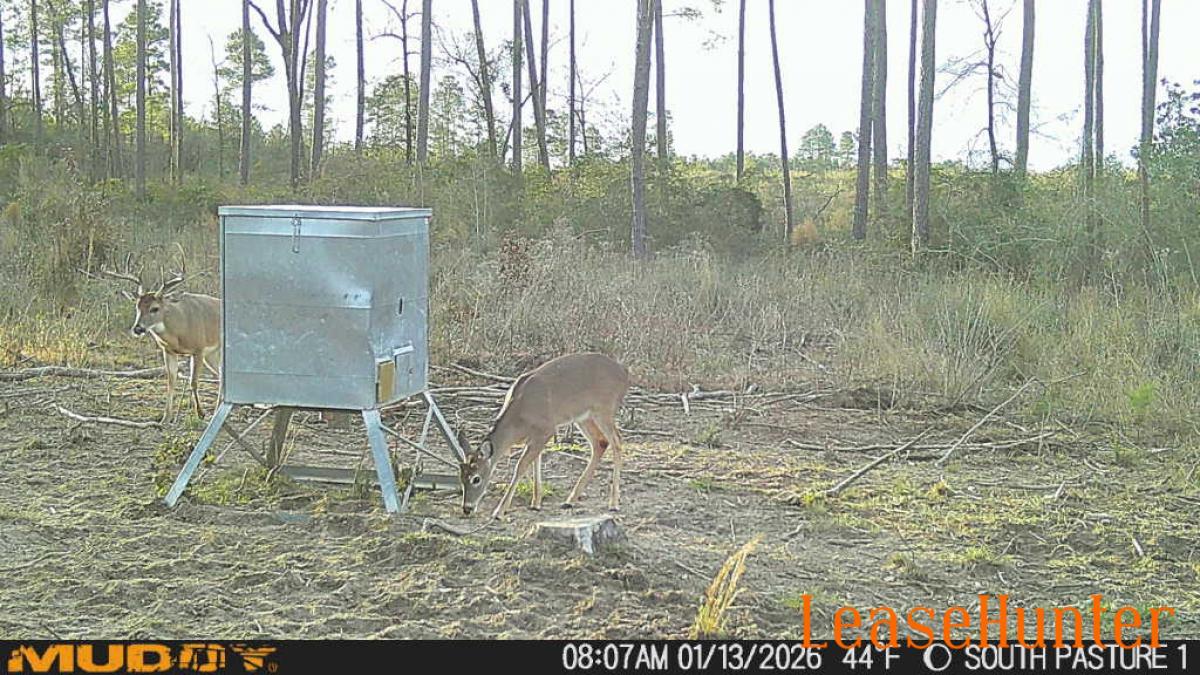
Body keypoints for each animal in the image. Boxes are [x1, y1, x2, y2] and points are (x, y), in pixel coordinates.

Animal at [92, 258, 222, 422]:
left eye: (155, 308)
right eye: (137, 307)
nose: (138, 328)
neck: (179, 331)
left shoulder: (198, 348)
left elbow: (193, 382)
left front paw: (200, 413)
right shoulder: (168, 351)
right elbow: (170, 381)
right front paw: (165, 418)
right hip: (212, 354)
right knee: (221, 375)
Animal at [457, 352, 630, 520]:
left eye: (476, 478)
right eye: (461, 476)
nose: (467, 508)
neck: (519, 418)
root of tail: (624, 372)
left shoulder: (547, 429)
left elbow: (521, 466)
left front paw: (499, 511)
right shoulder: (535, 436)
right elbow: (535, 462)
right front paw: (536, 503)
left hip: (604, 409)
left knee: (617, 441)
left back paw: (613, 503)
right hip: (584, 417)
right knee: (600, 442)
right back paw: (570, 500)